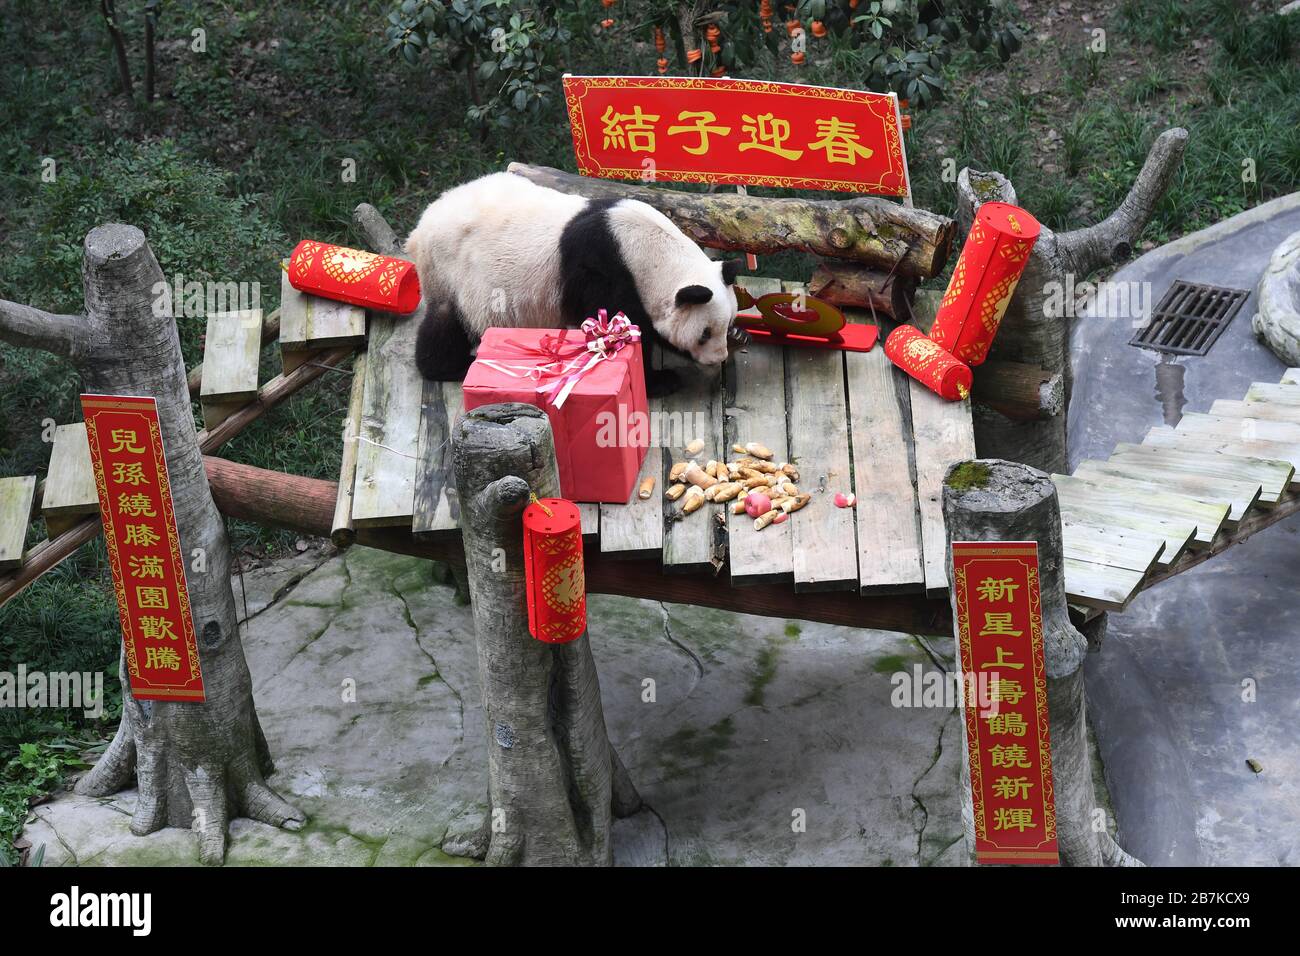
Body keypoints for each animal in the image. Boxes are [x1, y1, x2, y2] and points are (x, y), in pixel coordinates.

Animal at [405, 172, 738, 395]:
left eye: (728, 322)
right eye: (705, 333)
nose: (718, 358)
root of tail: (421, 227)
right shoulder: (602, 269)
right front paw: (659, 381)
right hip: (451, 270)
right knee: (446, 321)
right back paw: (449, 366)